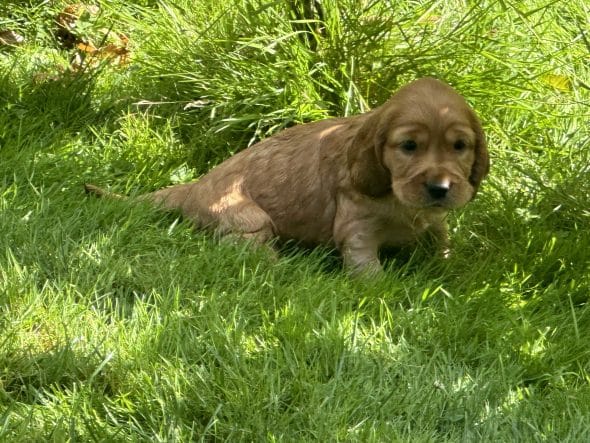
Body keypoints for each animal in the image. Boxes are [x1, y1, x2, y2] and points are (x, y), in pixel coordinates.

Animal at [84, 79, 490, 274]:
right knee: (246, 251)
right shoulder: (356, 226)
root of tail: (195, 186)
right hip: (247, 217)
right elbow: (367, 270)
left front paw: (452, 269)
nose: (439, 188)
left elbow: (442, 240)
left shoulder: (434, 221)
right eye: (408, 146)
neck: (396, 196)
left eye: (459, 146)